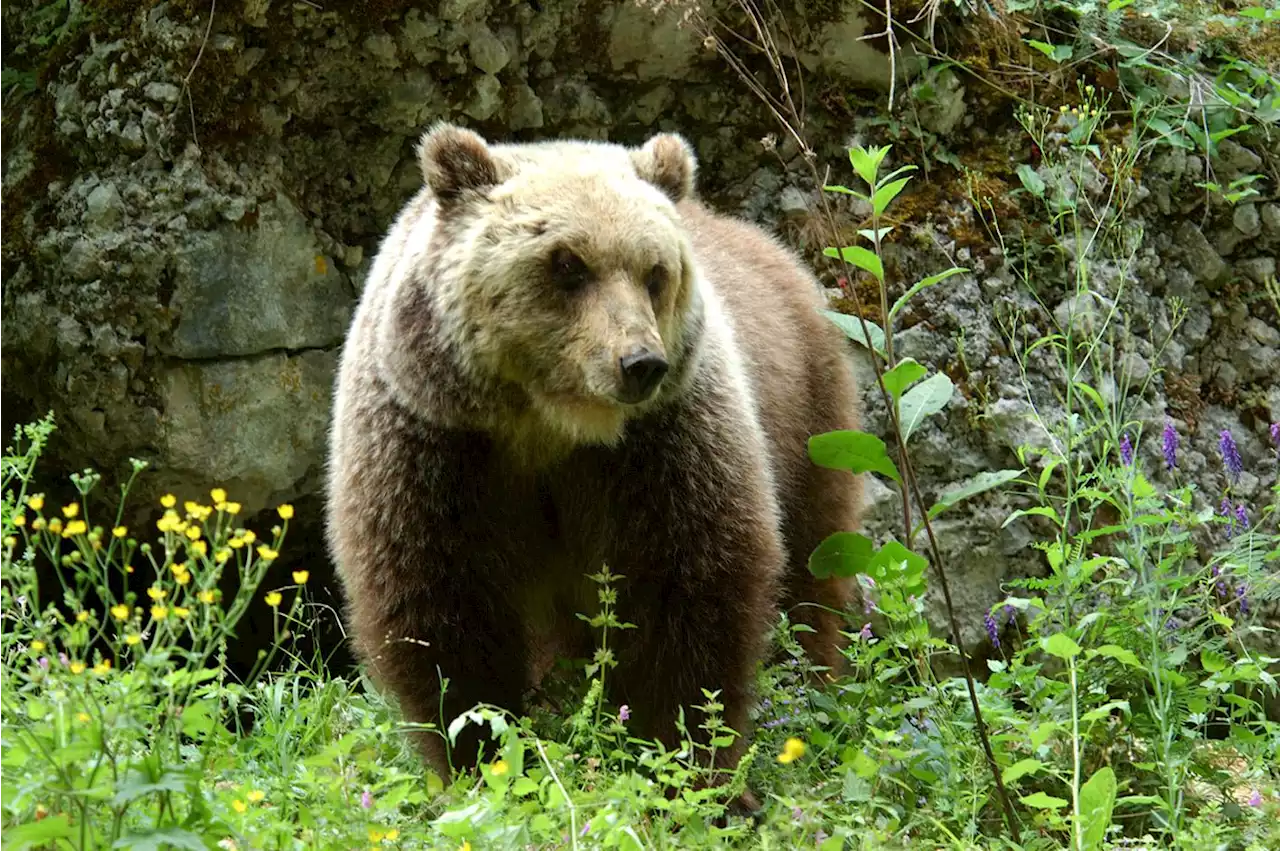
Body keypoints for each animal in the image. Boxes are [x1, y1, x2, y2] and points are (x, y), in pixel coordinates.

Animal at [320, 122, 865, 793]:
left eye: (655, 272)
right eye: (567, 263)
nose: (640, 362)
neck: (548, 425)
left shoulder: (660, 445)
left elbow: (689, 584)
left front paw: (683, 759)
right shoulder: (436, 444)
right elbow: (441, 603)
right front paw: (480, 753)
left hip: (808, 415)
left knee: (814, 564)